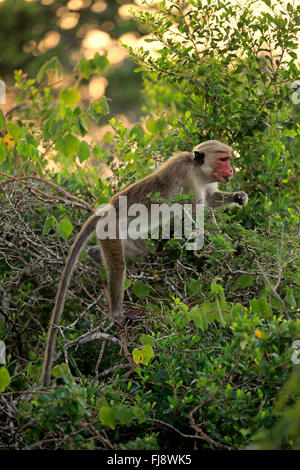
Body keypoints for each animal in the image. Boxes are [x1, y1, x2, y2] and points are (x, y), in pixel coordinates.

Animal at [41, 140, 247, 386]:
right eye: (224, 159)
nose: (231, 170)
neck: (199, 170)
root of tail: (106, 211)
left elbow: (211, 200)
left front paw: (239, 197)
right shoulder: (187, 180)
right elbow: (200, 217)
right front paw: (228, 245)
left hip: (128, 234)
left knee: (134, 252)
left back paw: (95, 255)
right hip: (110, 231)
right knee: (118, 266)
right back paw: (117, 314)